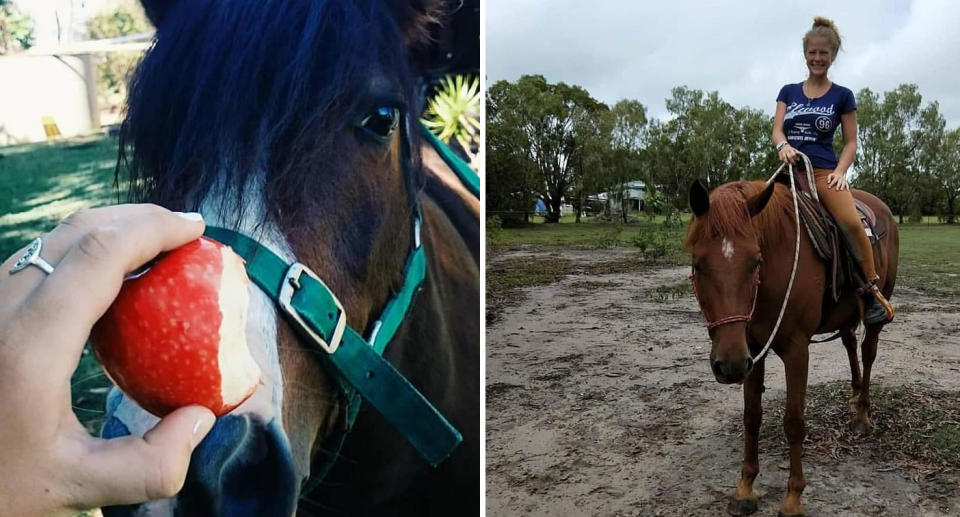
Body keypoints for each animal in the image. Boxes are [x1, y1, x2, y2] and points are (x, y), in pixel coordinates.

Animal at [688, 178, 896, 516]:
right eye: (698, 264)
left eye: (756, 261)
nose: (728, 366)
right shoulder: (751, 350)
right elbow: (752, 416)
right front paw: (745, 488)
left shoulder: (797, 351)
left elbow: (794, 422)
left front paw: (793, 498)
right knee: (850, 342)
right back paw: (853, 397)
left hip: (877, 307)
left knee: (868, 353)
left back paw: (862, 414)